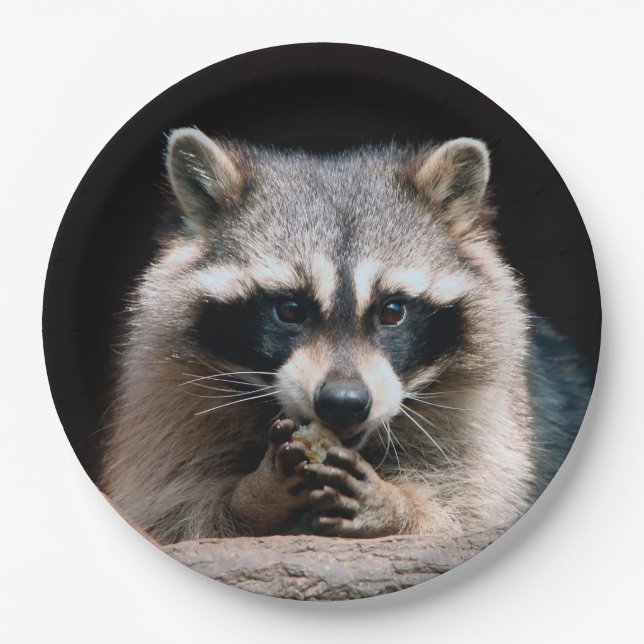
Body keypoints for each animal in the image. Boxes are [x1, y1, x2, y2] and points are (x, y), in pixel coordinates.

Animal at [100, 128, 592, 544]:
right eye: (289, 310)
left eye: (392, 311)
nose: (343, 402)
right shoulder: (167, 394)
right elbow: (170, 509)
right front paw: (254, 496)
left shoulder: (495, 416)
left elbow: (475, 507)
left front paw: (396, 506)